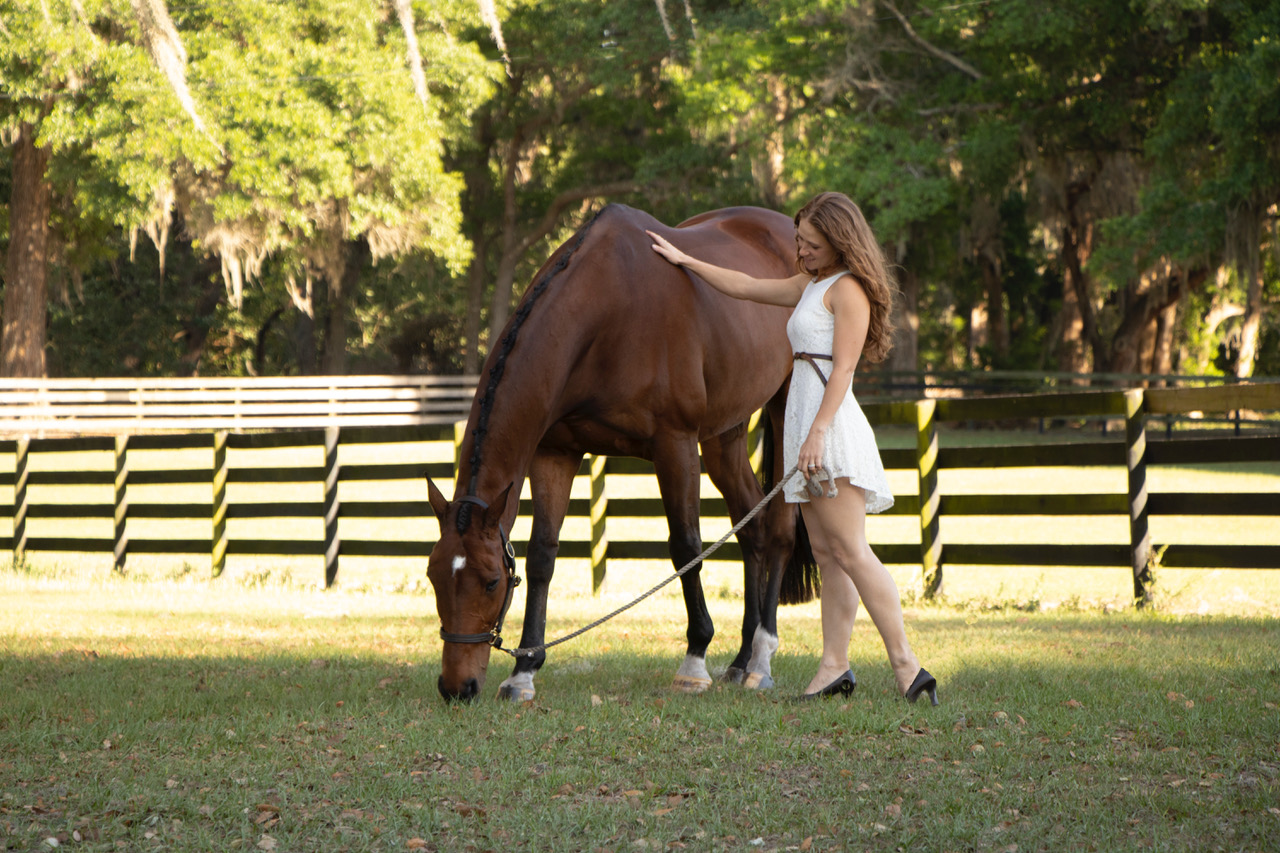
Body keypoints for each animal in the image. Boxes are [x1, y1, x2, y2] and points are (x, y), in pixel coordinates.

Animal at [424, 202, 814, 701]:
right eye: (435, 576)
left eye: (492, 581)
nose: (457, 686)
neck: (607, 311)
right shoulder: (555, 453)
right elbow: (542, 554)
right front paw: (524, 669)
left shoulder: (675, 444)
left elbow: (685, 545)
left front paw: (694, 660)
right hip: (723, 435)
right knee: (753, 529)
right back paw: (741, 658)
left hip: (783, 408)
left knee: (780, 529)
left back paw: (761, 658)